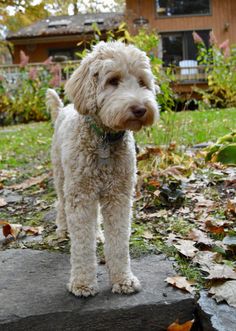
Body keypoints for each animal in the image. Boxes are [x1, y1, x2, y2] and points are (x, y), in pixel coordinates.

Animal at [46, 41, 159, 298]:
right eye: (113, 80)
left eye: (142, 82)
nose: (140, 108)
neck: (105, 139)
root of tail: (63, 109)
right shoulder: (80, 196)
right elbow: (81, 244)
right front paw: (82, 283)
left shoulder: (119, 196)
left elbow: (118, 241)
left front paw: (123, 280)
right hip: (62, 176)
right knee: (61, 203)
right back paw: (63, 229)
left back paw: (97, 234)